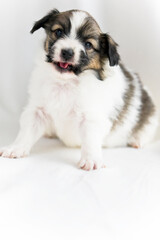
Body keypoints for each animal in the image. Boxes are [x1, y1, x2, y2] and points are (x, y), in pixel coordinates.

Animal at [0, 9, 158, 170]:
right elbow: (27, 132)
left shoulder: (90, 117)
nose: (67, 52)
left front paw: (91, 159)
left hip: (151, 119)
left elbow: (90, 140)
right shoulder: (37, 110)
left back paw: (137, 140)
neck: (65, 83)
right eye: (58, 32)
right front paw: (16, 148)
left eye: (88, 44)